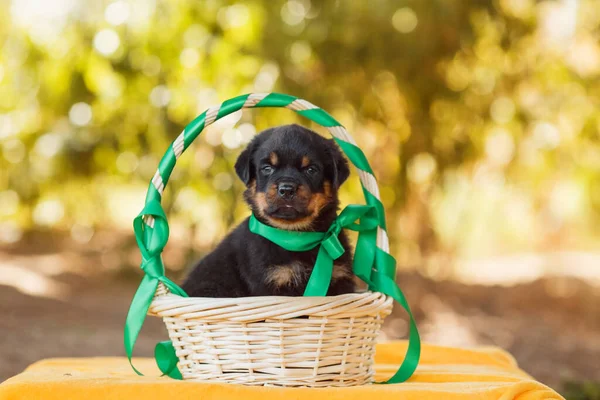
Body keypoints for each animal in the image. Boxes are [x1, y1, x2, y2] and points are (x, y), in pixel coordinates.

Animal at [180, 124, 354, 296]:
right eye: (267, 168)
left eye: (311, 169)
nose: (287, 189)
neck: (296, 237)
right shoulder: (273, 283)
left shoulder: (340, 278)